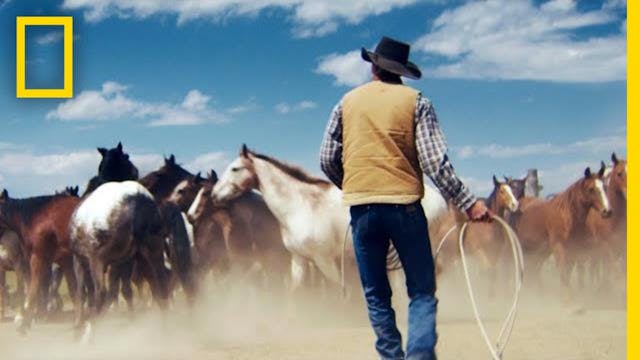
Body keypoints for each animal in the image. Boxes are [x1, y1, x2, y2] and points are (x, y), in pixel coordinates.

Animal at [516, 163, 608, 298]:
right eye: (591, 189)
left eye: (605, 187)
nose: (607, 211)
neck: (566, 215)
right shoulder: (559, 247)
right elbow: (564, 272)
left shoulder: (574, 250)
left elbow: (568, 273)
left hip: (539, 251)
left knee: (534, 271)